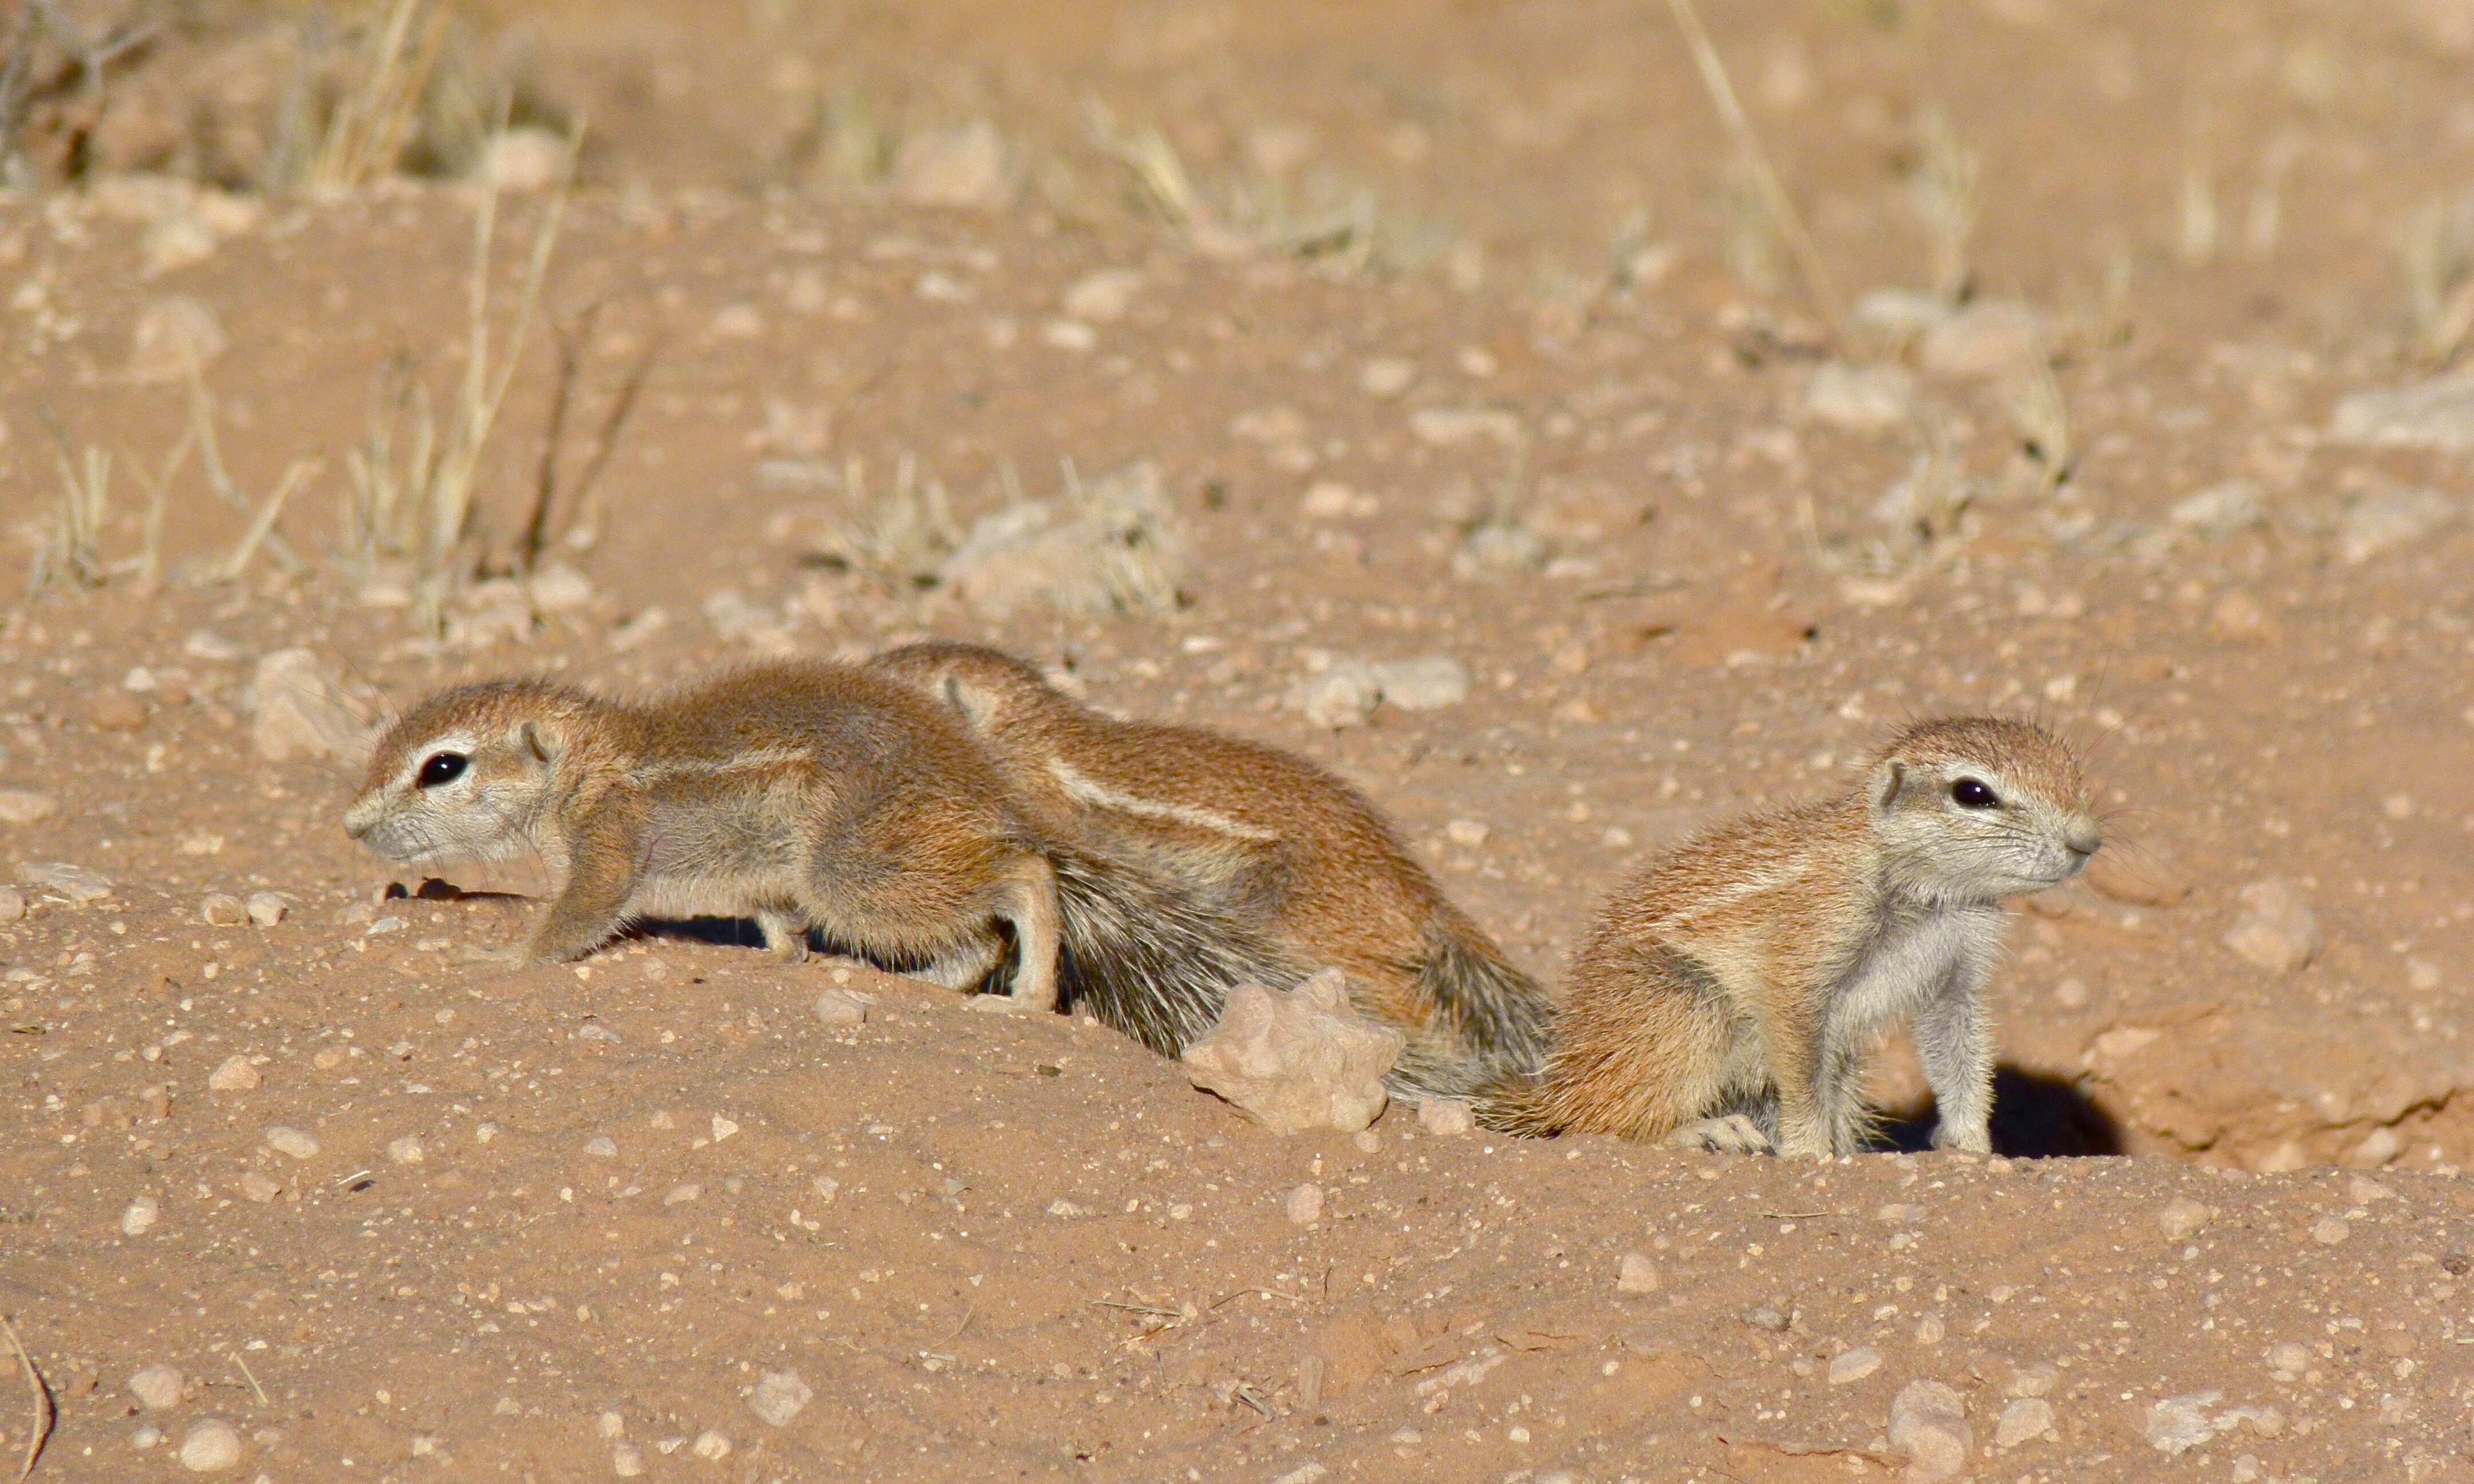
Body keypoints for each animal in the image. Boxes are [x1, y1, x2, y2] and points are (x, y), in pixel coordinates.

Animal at [351, 662, 1306, 1044]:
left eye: (443, 767)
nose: (354, 827)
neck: (590, 760)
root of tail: (986, 792)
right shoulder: (767, 881)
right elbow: (777, 924)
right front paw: (786, 962)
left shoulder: (608, 842)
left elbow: (578, 914)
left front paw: (501, 956)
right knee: (975, 937)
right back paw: (919, 987)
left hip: (854, 869)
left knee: (1021, 878)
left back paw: (1028, 992)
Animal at [1474, 717, 2098, 1157]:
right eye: (1973, 793)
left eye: (2073, 774)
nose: (2087, 841)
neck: (1926, 894)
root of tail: (1563, 1082)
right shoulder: (1810, 940)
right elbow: (1797, 1054)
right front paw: (1808, 1153)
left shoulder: (1959, 966)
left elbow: (1959, 1047)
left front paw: (1972, 1147)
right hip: (1681, 1000)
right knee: (1604, 1123)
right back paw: (1703, 1133)